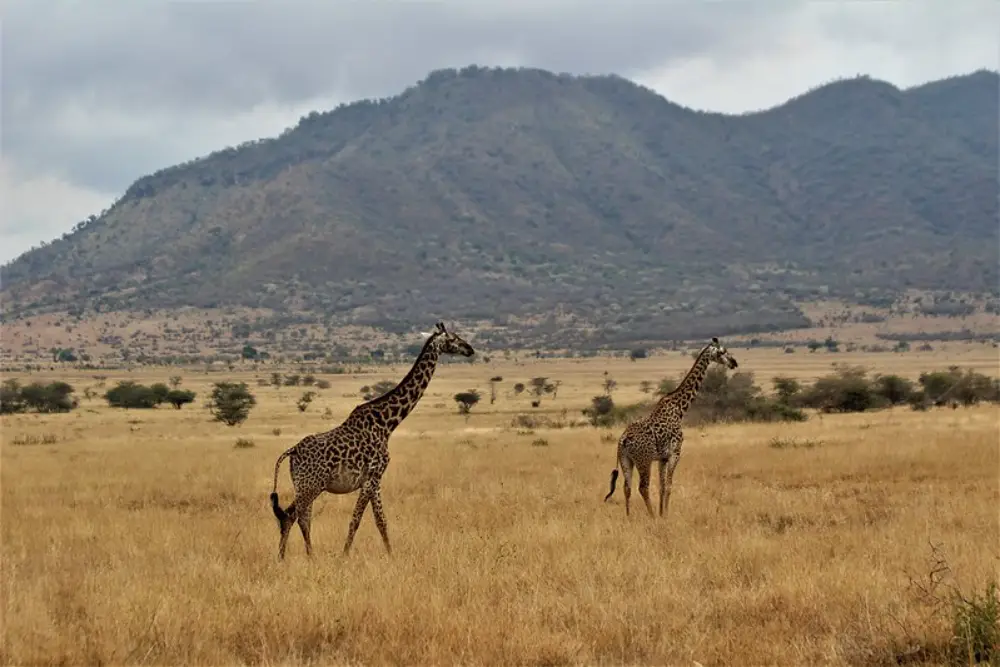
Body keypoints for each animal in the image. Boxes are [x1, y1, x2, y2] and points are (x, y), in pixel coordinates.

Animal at [270, 321, 475, 558]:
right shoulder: (372, 477)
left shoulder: (376, 480)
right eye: (453, 339)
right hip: (311, 485)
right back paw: (284, 559)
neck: (387, 424)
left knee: (302, 518)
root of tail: (292, 451)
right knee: (290, 515)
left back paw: (309, 556)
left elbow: (381, 521)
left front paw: (391, 555)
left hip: (305, 485)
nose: (470, 349)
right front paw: (345, 556)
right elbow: (356, 520)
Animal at [603, 337, 738, 518]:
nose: (734, 363)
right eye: (723, 351)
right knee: (642, 487)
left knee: (627, 487)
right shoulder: (675, 453)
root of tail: (623, 440)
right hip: (644, 460)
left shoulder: (662, 458)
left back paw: (629, 516)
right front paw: (664, 515)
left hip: (626, 460)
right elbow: (668, 486)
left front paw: (662, 513)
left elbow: (661, 486)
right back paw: (651, 516)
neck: (679, 408)